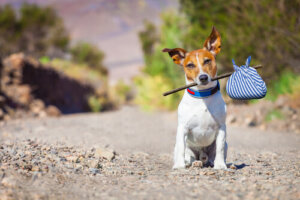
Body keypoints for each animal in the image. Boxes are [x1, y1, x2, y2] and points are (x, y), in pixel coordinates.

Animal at [164, 26, 227, 170]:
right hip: (186, 148)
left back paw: (211, 162)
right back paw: (193, 162)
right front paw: (179, 166)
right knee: (189, 156)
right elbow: (181, 149)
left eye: (207, 60)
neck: (203, 96)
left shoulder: (221, 128)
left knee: (212, 156)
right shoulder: (182, 129)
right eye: (190, 65)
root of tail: (201, 155)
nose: (203, 77)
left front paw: (220, 165)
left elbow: (220, 148)